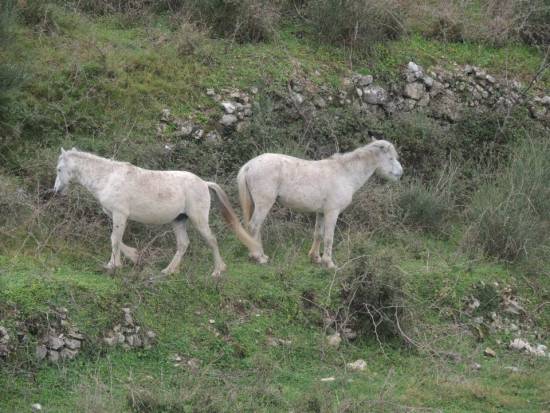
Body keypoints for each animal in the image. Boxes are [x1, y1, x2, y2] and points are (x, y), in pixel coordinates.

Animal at [55, 148, 262, 276]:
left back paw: (218, 271)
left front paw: (113, 265)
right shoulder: (114, 215)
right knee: (183, 244)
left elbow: (114, 239)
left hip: (198, 220)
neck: (108, 177)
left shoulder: (120, 214)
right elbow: (117, 239)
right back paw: (168, 271)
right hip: (179, 220)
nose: (56, 190)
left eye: (59, 169)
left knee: (211, 240)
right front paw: (133, 256)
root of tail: (204, 183)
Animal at [238, 138, 406, 268]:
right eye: (391, 158)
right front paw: (329, 263)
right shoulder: (332, 212)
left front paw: (315, 258)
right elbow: (329, 236)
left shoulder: (321, 212)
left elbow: (318, 234)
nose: (401, 173)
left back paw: (259, 254)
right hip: (264, 204)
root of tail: (250, 165)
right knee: (254, 226)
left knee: (256, 227)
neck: (345, 173)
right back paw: (258, 257)